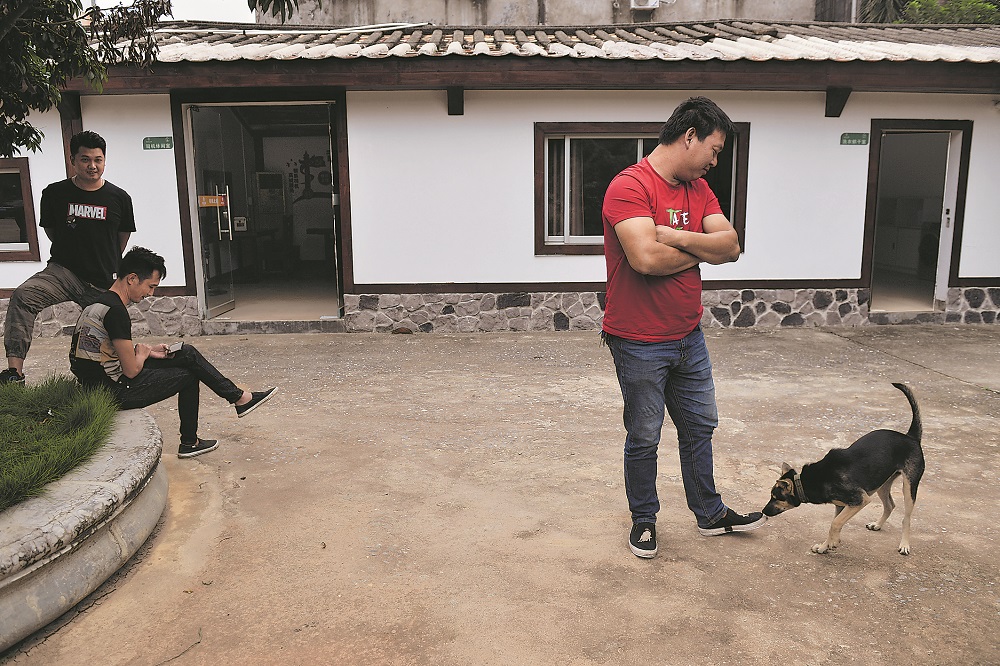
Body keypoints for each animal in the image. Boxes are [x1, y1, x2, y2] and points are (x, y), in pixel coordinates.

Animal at [763, 382, 925, 556]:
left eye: (775, 497)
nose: (763, 511)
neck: (808, 481)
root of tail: (911, 436)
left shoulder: (860, 499)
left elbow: (835, 523)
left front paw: (830, 543)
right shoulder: (841, 505)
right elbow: (836, 522)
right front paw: (825, 546)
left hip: (909, 486)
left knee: (906, 518)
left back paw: (904, 544)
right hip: (882, 482)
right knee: (890, 505)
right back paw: (877, 525)